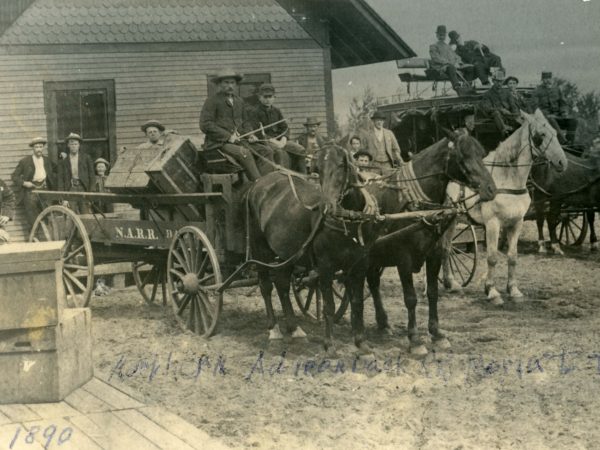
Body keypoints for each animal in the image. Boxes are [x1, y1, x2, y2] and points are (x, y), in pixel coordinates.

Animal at [246, 142, 382, 354]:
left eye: (341, 165)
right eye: (318, 170)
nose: (327, 207)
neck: (349, 219)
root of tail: (260, 182)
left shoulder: (359, 264)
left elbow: (357, 302)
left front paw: (361, 342)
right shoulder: (325, 266)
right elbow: (328, 305)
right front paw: (329, 345)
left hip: (286, 252)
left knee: (282, 283)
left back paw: (294, 328)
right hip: (260, 248)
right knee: (266, 285)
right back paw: (274, 329)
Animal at [360, 130, 496, 356]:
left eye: (481, 153)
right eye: (463, 157)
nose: (491, 189)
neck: (419, 208)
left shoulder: (435, 254)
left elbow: (433, 293)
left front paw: (437, 334)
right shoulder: (403, 258)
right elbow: (411, 298)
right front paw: (415, 339)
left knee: (372, 281)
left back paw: (383, 323)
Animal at [440, 109, 568, 306]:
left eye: (555, 133)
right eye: (541, 135)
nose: (562, 162)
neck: (507, 178)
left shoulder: (516, 223)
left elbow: (513, 256)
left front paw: (513, 290)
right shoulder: (493, 223)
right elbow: (492, 258)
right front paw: (492, 291)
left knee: (446, 247)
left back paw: (450, 283)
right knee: (443, 247)